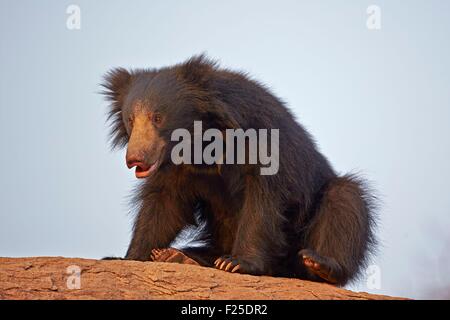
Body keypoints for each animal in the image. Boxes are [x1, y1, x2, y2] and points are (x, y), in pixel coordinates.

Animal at [101, 55, 376, 284]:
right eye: (130, 120)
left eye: (158, 118)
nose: (135, 159)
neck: (199, 143)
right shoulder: (175, 169)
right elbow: (163, 205)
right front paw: (127, 258)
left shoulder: (259, 140)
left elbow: (262, 200)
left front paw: (236, 263)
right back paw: (176, 256)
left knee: (344, 199)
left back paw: (321, 264)